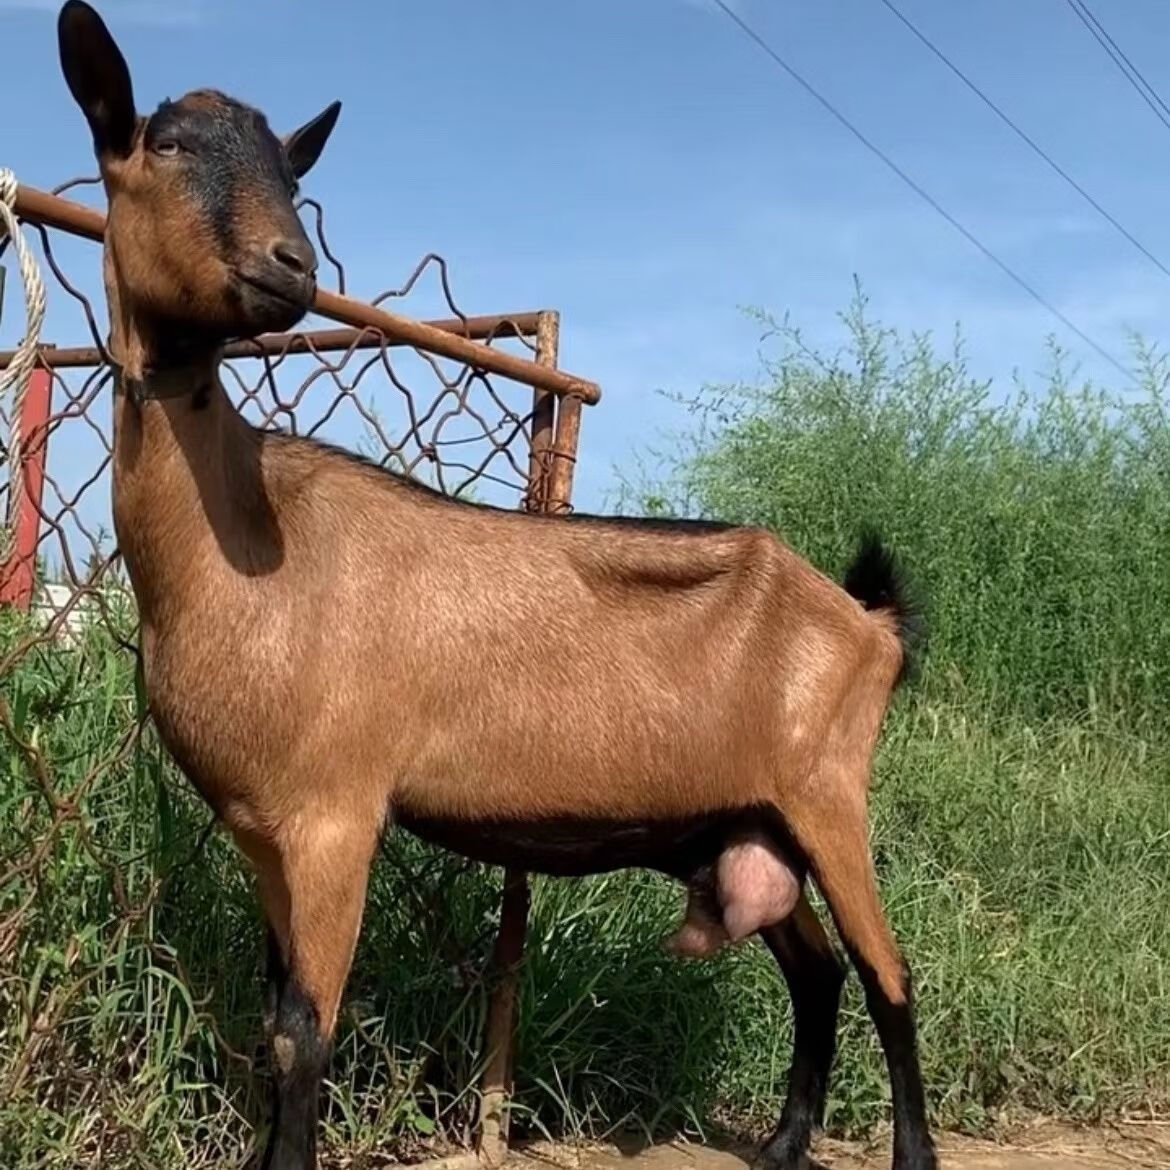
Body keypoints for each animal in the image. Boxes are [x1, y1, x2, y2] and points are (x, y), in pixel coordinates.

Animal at [53, 3, 936, 1169]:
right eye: (164, 142)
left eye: (292, 172)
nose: (291, 268)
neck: (241, 534)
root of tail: (870, 622)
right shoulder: (260, 827)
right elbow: (276, 1022)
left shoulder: (335, 812)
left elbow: (306, 1036)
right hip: (747, 818)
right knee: (819, 971)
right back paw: (786, 1147)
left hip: (829, 793)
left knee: (889, 975)